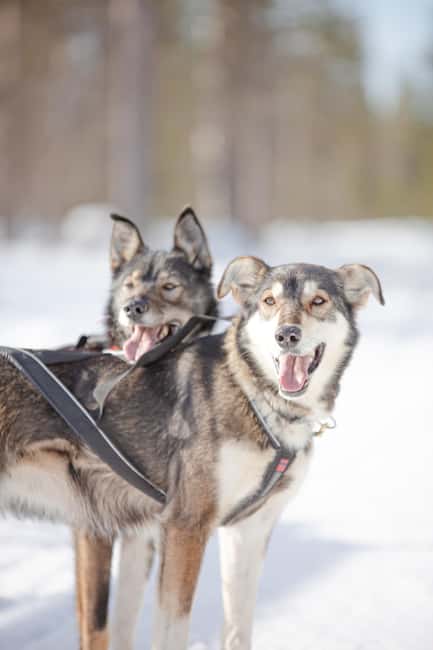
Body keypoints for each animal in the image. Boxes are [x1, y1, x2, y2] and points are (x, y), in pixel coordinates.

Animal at [0, 257, 384, 650]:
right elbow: (173, 630)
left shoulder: (248, 531)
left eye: (318, 301)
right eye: (269, 301)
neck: (257, 399)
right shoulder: (186, 526)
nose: (287, 335)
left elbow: (238, 629)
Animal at [76, 207, 217, 649]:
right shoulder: (93, 530)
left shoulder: (150, 534)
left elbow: (125, 616)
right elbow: (97, 620)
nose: (133, 308)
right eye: (131, 284)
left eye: (170, 287)